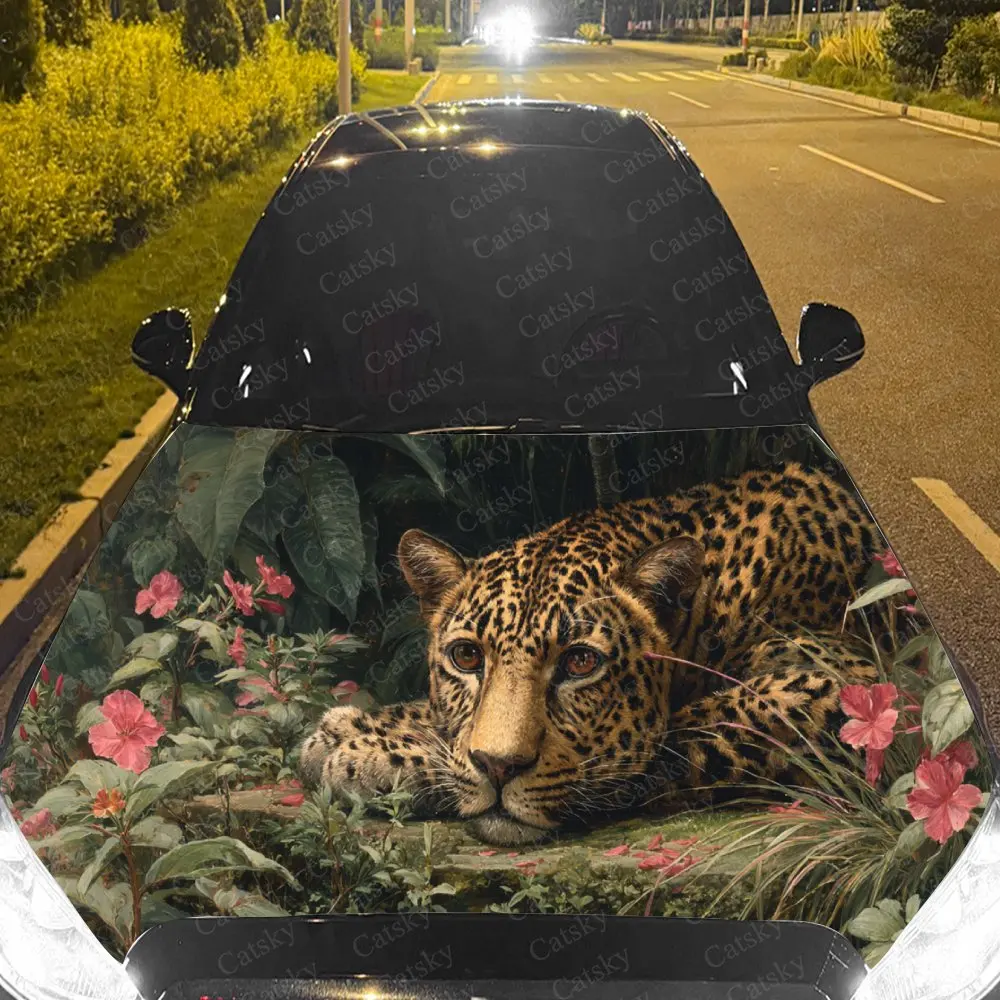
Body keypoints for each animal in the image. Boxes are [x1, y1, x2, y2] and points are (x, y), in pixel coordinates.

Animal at [300, 461, 882, 846]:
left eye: (580, 663)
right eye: (466, 657)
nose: (498, 767)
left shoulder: (837, 682)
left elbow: (684, 730)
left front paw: (374, 756)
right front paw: (352, 728)